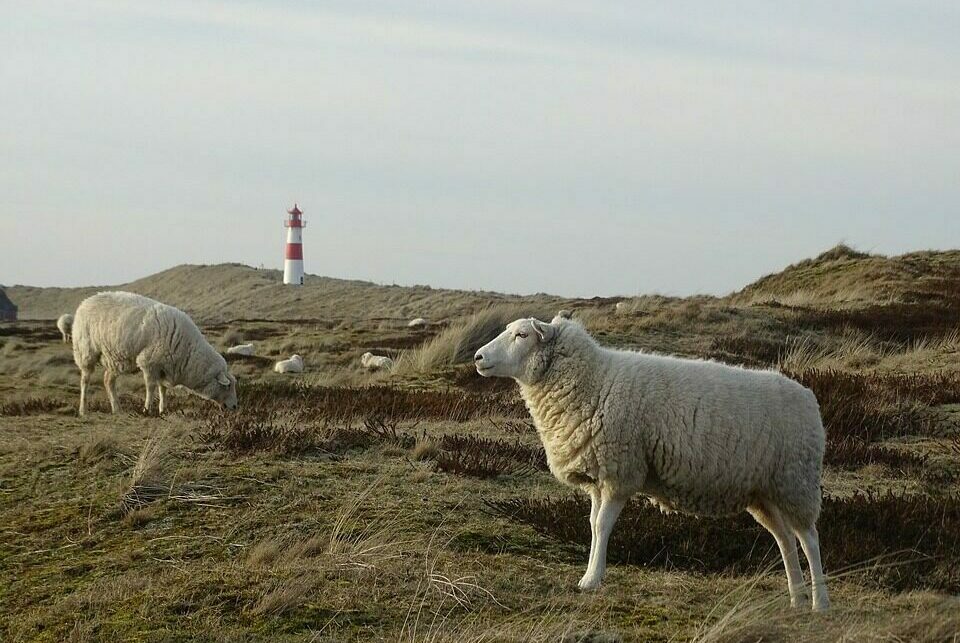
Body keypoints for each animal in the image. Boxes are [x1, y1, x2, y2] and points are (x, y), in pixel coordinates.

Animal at [72, 292, 238, 416]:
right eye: (228, 386)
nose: (235, 407)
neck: (188, 353)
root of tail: (85, 302)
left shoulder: (163, 367)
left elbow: (163, 389)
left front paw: (162, 410)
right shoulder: (149, 363)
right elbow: (151, 387)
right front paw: (147, 410)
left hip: (116, 358)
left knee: (108, 380)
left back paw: (117, 409)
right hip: (85, 351)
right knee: (85, 380)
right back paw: (83, 410)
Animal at [474, 315, 830, 610]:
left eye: (521, 334)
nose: (477, 357)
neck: (594, 382)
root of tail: (809, 397)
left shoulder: (621, 472)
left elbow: (602, 525)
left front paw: (592, 580)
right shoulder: (600, 476)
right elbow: (592, 524)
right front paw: (590, 573)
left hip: (796, 481)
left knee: (809, 539)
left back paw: (819, 602)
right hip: (765, 492)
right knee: (785, 539)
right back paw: (797, 597)